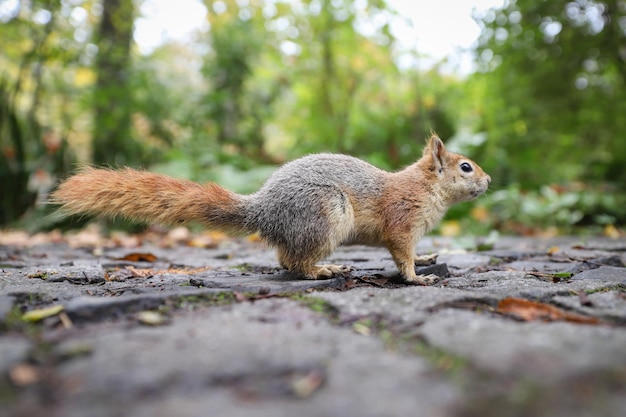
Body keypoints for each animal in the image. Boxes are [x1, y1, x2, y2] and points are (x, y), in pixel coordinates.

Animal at [51, 133, 488, 282]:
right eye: (466, 167)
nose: (488, 181)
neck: (425, 188)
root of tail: (263, 210)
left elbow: (413, 252)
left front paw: (428, 258)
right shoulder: (401, 220)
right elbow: (401, 254)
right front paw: (416, 278)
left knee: (283, 258)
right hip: (324, 214)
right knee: (295, 264)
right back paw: (324, 270)